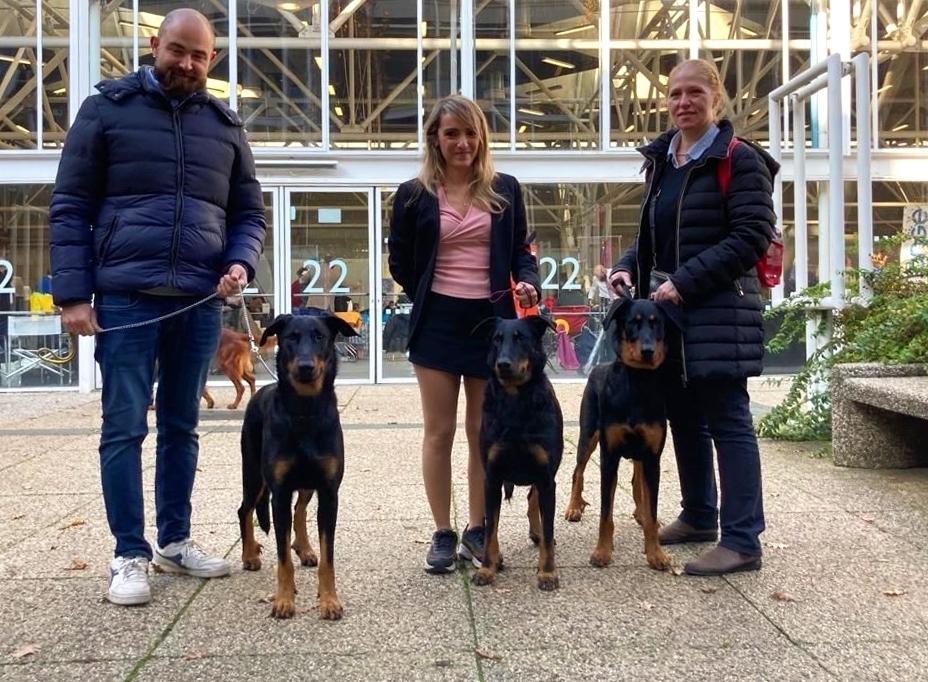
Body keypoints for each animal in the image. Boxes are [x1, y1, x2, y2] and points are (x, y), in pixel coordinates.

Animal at [237, 310, 358, 620]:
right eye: (291, 337)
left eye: (320, 337)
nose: (305, 367)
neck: (305, 410)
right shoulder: (278, 492)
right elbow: (283, 559)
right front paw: (283, 600)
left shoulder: (329, 492)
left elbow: (328, 558)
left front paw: (329, 600)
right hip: (253, 473)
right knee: (245, 509)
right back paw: (249, 555)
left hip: (306, 482)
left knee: (300, 509)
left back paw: (304, 549)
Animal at [474, 314, 560, 588]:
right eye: (496, 339)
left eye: (521, 338)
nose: (503, 364)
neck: (515, 398)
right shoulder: (492, 477)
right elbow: (491, 529)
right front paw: (487, 569)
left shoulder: (546, 477)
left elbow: (549, 528)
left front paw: (547, 572)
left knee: (534, 499)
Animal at [560, 294, 684, 568]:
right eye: (632, 322)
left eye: (657, 323)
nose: (647, 351)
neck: (637, 382)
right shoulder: (609, 454)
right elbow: (606, 512)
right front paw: (602, 552)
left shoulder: (652, 456)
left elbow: (652, 507)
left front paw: (656, 553)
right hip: (588, 435)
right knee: (578, 470)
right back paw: (573, 507)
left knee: (637, 479)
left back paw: (640, 511)